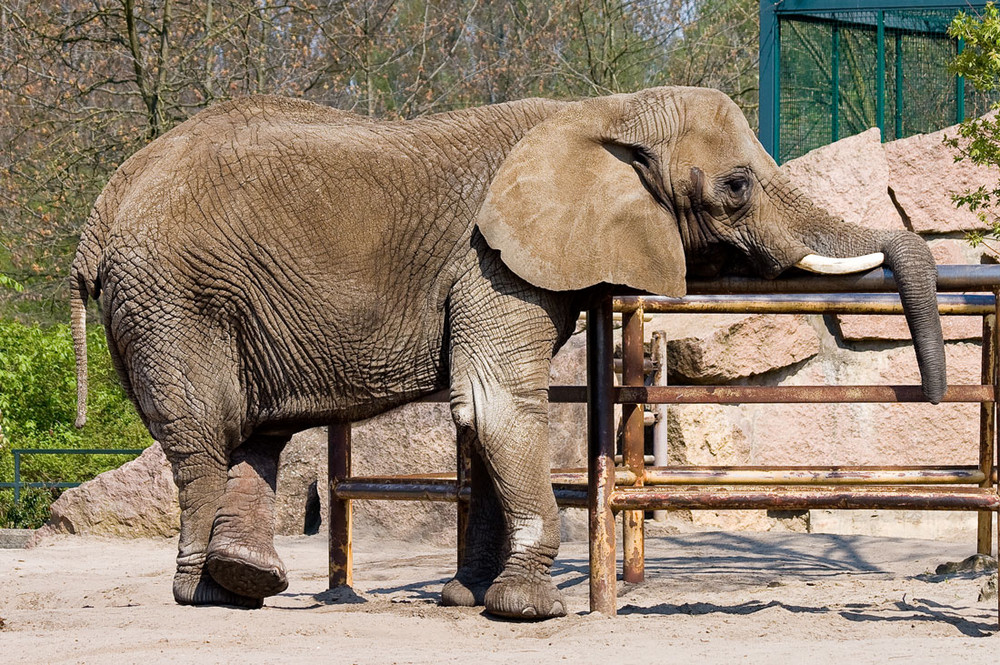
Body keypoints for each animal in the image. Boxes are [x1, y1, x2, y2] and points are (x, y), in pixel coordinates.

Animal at [70, 87, 944, 616]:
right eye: (735, 186)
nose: (935, 396)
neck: (602, 115)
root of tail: (101, 212)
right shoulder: (493, 257)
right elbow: (496, 401)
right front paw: (528, 609)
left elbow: (480, 413)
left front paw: (466, 599)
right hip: (174, 298)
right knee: (207, 434)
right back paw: (204, 595)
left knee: (257, 433)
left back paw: (248, 582)